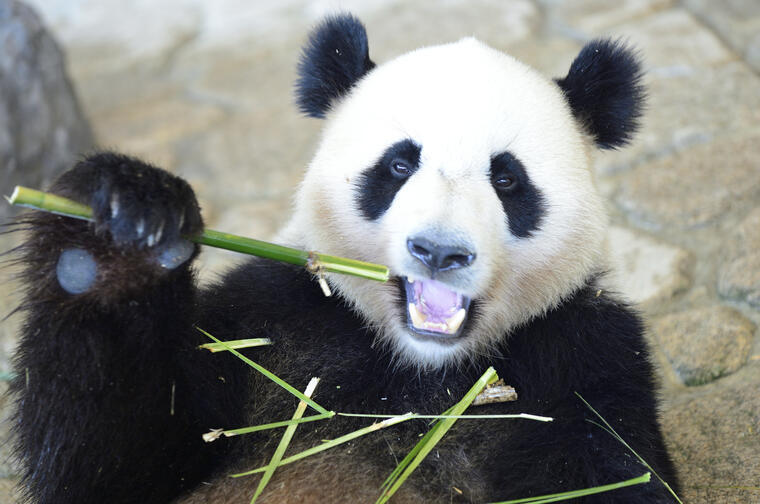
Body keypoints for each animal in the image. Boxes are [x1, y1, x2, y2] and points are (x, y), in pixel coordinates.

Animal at [11, 10, 676, 504]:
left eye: (507, 179)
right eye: (399, 165)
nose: (438, 251)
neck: (420, 367)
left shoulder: (582, 354)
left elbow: (612, 471)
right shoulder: (273, 315)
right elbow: (117, 459)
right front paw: (122, 228)